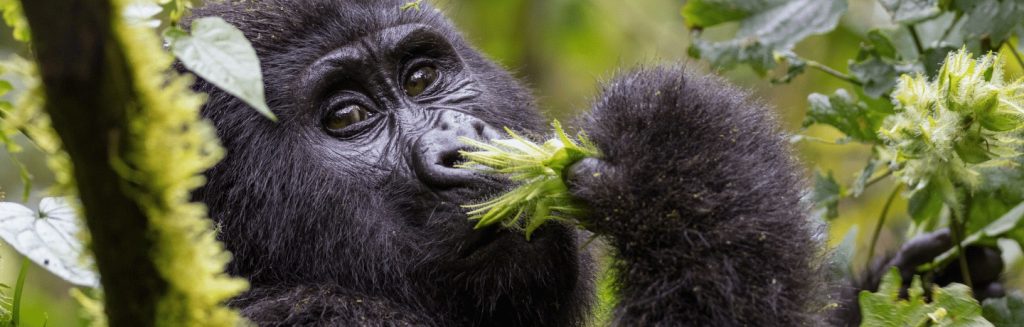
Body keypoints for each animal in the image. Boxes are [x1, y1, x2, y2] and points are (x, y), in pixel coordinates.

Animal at [180, 0, 995, 325]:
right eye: (346, 118)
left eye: (421, 75)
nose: (462, 140)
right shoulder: (317, 314)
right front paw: (683, 154)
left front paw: (926, 278)